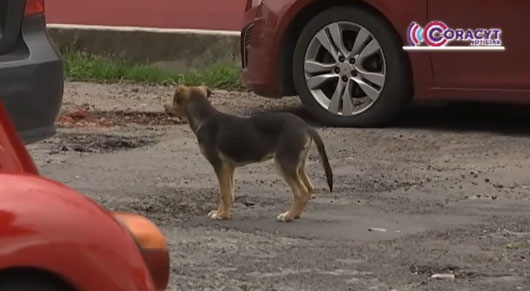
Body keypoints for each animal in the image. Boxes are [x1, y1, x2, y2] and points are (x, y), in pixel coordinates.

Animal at [163, 85, 332, 222]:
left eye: (174, 99)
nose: (164, 106)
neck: (204, 118)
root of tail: (307, 127)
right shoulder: (229, 168)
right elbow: (228, 193)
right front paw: (222, 213)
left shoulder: (219, 165)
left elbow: (224, 193)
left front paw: (222, 216)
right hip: (298, 164)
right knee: (309, 188)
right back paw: (295, 214)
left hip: (283, 164)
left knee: (301, 192)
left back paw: (288, 216)